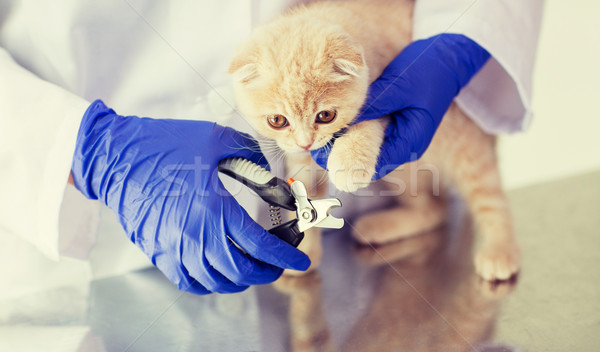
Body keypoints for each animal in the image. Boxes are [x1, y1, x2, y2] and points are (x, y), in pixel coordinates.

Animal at [227, 0, 516, 280]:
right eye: (277, 120)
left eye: (325, 115)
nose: (306, 143)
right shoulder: (299, 158)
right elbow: (305, 191)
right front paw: (303, 252)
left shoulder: (385, 97)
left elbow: (363, 126)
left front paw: (348, 163)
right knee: (437, 208)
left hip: (462, 145)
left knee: (488, 195)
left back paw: (500, 250)